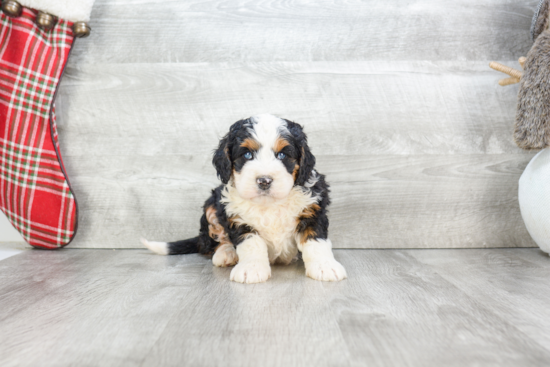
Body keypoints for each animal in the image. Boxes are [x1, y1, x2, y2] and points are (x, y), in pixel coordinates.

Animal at [143, 115, 350, 284]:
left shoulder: (312, 210)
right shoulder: (237, 217)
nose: (264, 180)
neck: (269, 204)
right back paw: (226, 253)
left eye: (282, 154)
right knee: (212, 240)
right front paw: (251, 269)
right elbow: (251, 243)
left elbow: (316, 241)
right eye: (247, 154)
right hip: (212, 205)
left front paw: (325, 266)